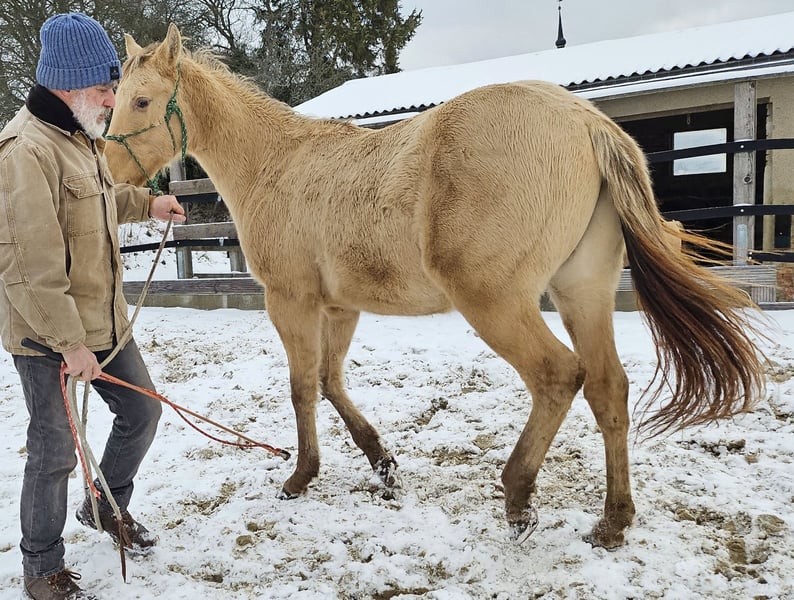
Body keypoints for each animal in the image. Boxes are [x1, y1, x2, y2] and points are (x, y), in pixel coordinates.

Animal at [106, 23, 766, 549]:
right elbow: (330, 381)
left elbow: (301, 389)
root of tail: (584, 121)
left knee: (558, 376)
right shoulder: (340, 308)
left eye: (141, 100)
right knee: (608, 388)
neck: (277, 165)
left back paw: (518, 497)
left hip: (495, 302)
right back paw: (613, 521)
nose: (108, 180)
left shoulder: (290, 301)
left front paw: (301, 477)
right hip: (583, 291)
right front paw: (382, 464)